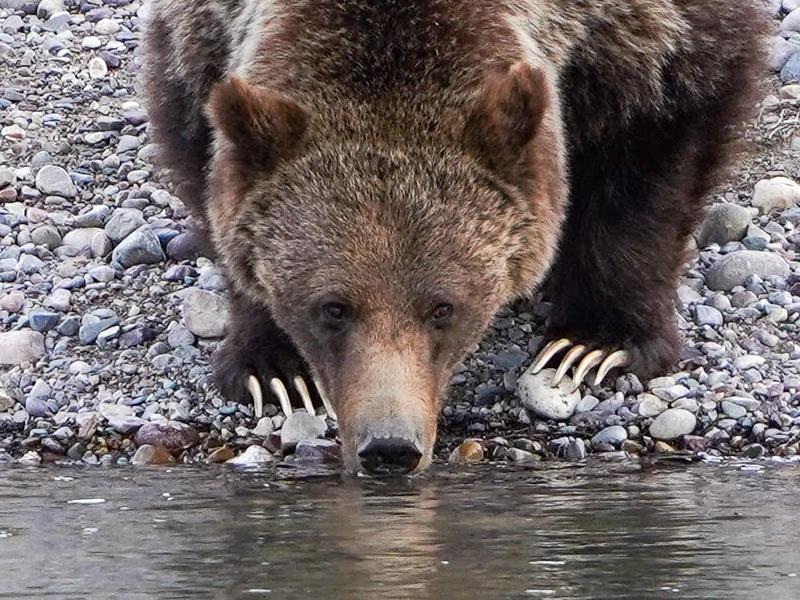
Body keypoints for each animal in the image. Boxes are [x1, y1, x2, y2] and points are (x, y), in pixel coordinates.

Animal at [141, 0, 764, 474]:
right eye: (332, 308)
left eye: (443, 308)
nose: (389, 445)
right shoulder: (205, 33)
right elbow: (201, 145)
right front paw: (275, 368)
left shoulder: (646, 34)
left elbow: (656, 136)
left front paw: (591, 344)